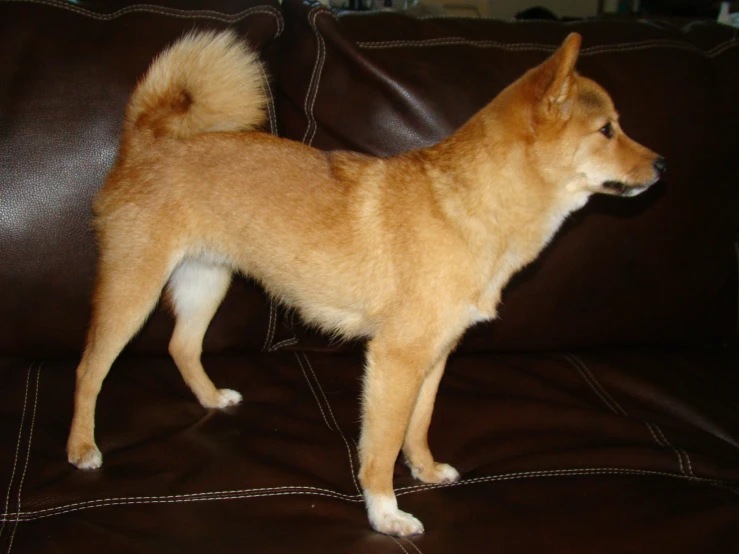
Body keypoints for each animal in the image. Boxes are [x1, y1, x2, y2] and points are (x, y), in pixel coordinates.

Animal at [68, 30, 664, 536]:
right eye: (607, 129)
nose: (661, 165)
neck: (469, 205)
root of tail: (146, 140)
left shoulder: (434, 356)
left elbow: (417, 428)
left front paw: (425, 470)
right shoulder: (396, 360)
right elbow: (380, 448)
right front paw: (386, 514)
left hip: (205, 281)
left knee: (181, 345)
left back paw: (212, 397)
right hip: (133, 289)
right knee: (90, 369)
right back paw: (82, 446)